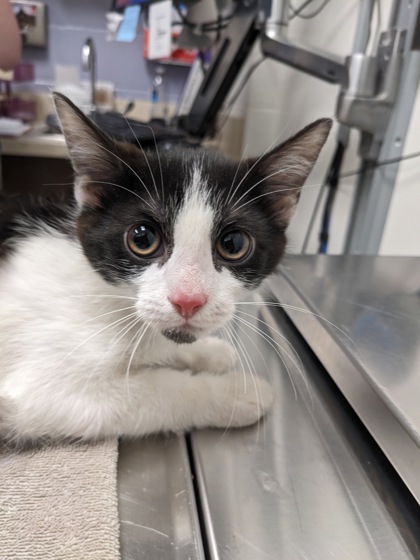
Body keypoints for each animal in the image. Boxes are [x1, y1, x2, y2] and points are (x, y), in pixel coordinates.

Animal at [0, 93, 331, 443]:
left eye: (233, 245)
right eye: (142, 238)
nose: (188, 300)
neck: (106, 298)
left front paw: (209, 352)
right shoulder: (44, 386)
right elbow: (155, 392)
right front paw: (238, 393)